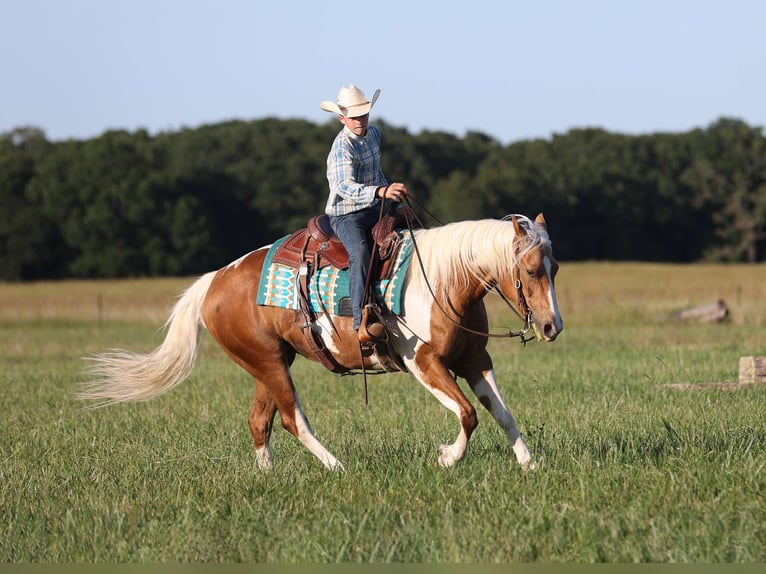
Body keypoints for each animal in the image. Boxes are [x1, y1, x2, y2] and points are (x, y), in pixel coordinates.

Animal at [80, 213, 563, 471]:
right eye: (531, 269)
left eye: (554, 268)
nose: (551, 326)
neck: (447, 279)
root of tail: (215, 280)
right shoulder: (424, 363)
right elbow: (467, 414)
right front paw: (447, 457)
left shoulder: (474, 358)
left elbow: (502, 413)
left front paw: (530, 463)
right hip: (270, 365)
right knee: (293, 420)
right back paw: (336, 467)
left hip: (270, 363)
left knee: (259, 421)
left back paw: (268, 475)